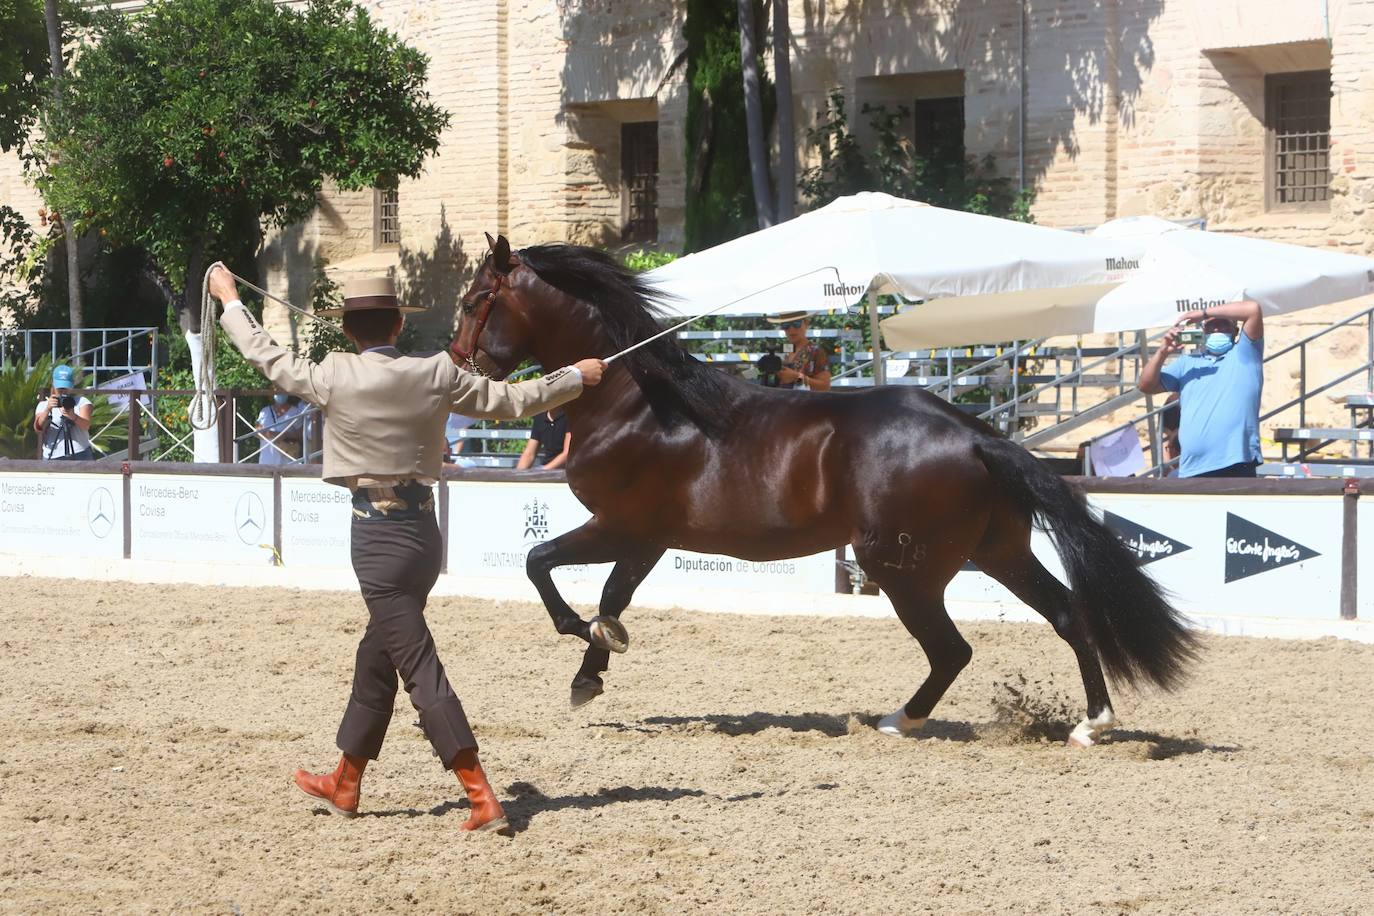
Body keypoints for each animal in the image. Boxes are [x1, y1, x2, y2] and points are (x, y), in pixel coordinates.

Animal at [450, 234, 1192, 747]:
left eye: (472, 302)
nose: (458, 366)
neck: (639, 403)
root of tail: (977, 435)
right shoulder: (648, 541)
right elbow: (611, 597)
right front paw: (591, 672)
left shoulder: (620, 526)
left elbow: (541, 565)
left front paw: (585, 645)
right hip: (999, 551)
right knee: (1067, 614)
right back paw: (1091, 724)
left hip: (900, 568)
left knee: (952, 649)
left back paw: (897, 722)